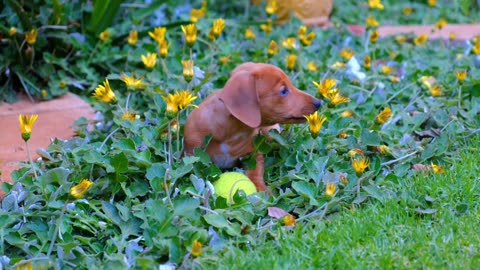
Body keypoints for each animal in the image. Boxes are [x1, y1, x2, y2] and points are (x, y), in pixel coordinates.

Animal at [184, 62, 322, 191]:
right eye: (283, 91)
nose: (319, 102)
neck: (232, 132)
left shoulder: (254, 155)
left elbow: (255, 171)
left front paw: (260, 188)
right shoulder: (192, 154)